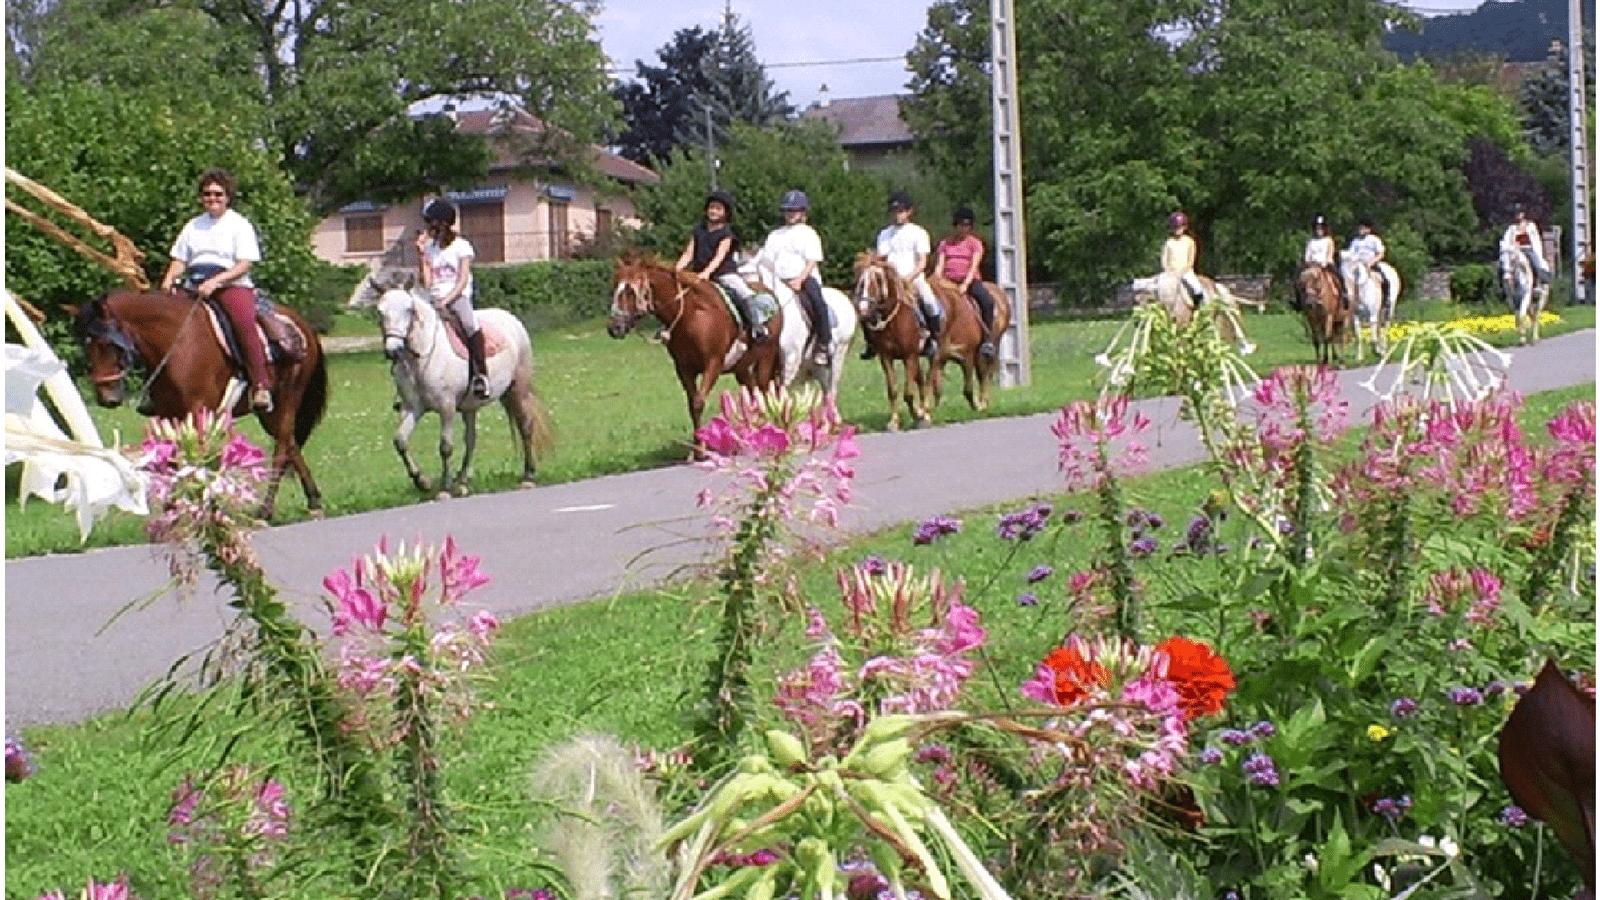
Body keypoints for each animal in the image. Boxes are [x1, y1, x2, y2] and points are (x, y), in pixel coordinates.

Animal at [72, 283, 328, 515]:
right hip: (268, 412)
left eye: (108, 344)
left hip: (287, 399)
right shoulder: (168, 413)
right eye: (85, 345)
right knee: (291, 443)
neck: (178, 342)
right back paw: (314, 500)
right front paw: (173, 508)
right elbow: (174, 458)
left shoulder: (197, 411)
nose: (106, 398)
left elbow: (198, 458)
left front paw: (205, 504)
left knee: (282, 448)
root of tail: (302, 327)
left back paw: (266, 510)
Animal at [372, 285, 550, 496]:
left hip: (517, 390)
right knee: (471, 440)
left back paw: (528, 475)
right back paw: (462, 480)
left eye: (409, 310)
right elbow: (400, 441)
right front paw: (422, 481)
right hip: (470, 407)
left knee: (526, 427)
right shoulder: (412, 408)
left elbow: (446, 447)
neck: (422, 359)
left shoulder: (446, 407)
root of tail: (511, 319)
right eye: (380, 312)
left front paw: (444, 487)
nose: (393, 350)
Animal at [604, 254, 780, 445]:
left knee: (764, 392)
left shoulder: (713, 364)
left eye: (630, 291)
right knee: (752, 395)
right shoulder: (684, 368)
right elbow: (692, 405)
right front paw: (697, 447)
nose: (614, 328)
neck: (691, 316)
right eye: (614, 288)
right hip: (741, 367)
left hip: (766, 358)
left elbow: (698, 402)